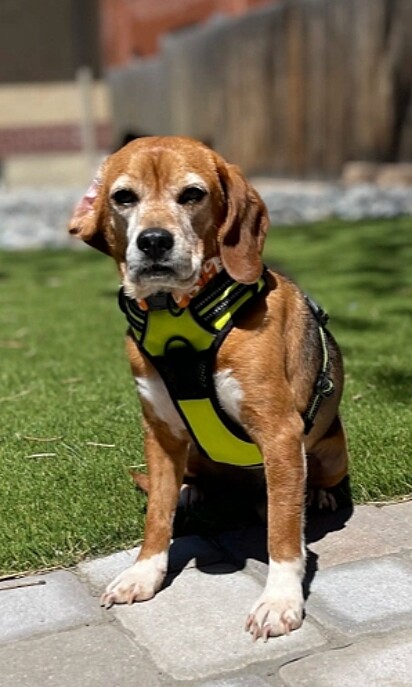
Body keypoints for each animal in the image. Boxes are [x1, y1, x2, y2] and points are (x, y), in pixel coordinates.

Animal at [69, 137, 350, 644]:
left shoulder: (280, 434)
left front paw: (280, 600)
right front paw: (144, 572)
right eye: (124, 197)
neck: (178, 313)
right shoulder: (159, 435)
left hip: (331, 453)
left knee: (297, 493)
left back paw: (315, 495)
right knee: (196, 483)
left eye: (192, 195)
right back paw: (193, 491)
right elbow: (156, 516)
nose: (153, 241)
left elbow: (283, 533)